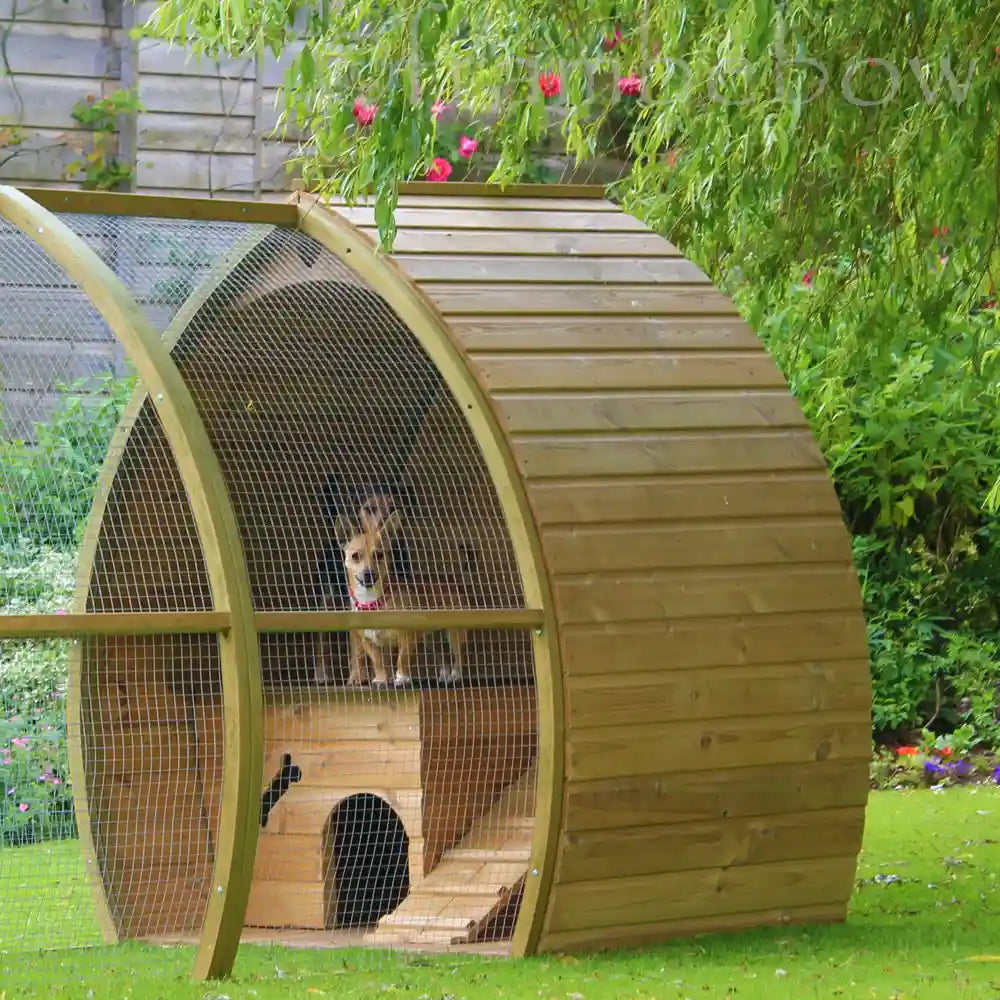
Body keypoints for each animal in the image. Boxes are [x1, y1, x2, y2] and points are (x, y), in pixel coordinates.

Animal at [332, 508, 464, 688]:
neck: (372, 601)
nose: (368, 574)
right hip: (432, 639)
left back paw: (456, 675)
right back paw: (444, 676)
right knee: (442, 656)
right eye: (355, 556)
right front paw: (381, 679)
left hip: (454, 634)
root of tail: (449, 580)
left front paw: (402, 677)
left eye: (379, 555)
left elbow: (402, 658)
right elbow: (378, 662)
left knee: (458, 655)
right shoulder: (368, 642)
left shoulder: (407, 636)